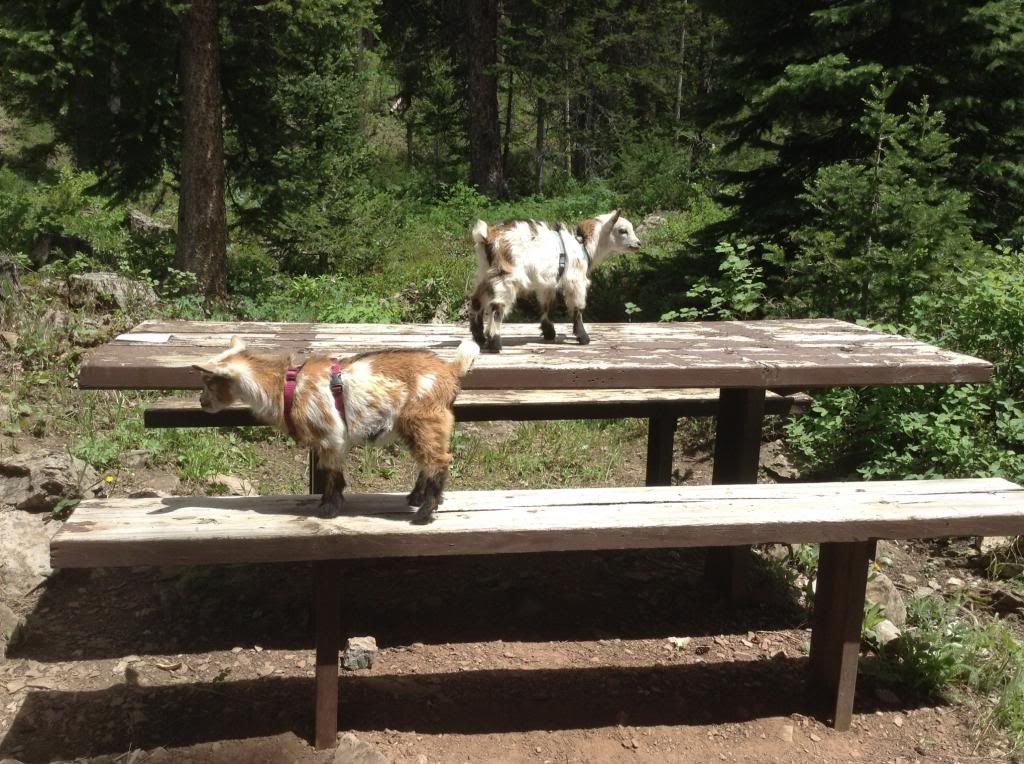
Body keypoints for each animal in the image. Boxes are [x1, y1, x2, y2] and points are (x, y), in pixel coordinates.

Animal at [193, 337, 480, 524]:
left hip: (424, 420)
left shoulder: (330, 436)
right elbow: (331, 473)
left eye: (209, 381)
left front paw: (328, 509)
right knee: (430, 461)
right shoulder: (327, 442)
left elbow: (331, 473)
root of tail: (450, 370)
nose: (201, 401)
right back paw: (418, 499)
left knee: (438, 461)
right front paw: (327, 503)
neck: (284, 388)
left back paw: (424, 513)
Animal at [468, 210, 640, 352]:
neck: (584, 245)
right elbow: (577, 308)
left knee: (476, 301)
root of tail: (487, 236)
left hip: (485, 273)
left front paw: (549, 333)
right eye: (622, 230)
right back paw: (495, 344)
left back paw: (479, 339)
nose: (638, 244)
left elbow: (548, 305)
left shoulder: (547, 283)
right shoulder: (576, 280)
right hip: (506, 276)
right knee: (497, 307)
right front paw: (583, 337)